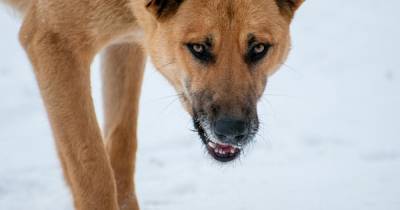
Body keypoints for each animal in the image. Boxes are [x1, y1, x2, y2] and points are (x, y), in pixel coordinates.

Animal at [0, 0, 304, 209]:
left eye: (258, 48)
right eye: (198, 48)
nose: (232, 131)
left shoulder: (127, 42)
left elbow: (121, 149)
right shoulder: (53, 43)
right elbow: (94, 173)